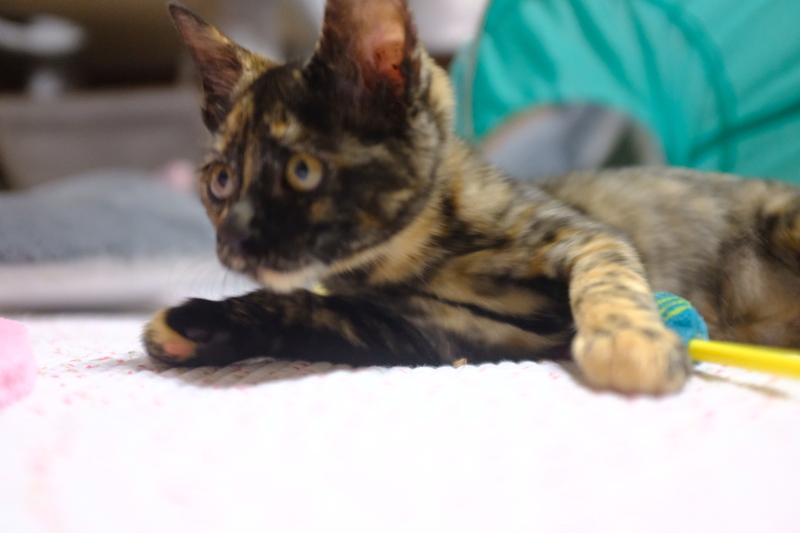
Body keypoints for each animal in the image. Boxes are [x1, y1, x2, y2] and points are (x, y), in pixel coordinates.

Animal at [144, 0, 800, 394]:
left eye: (303, 171)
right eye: (220, 182)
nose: (234, 238)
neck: (405, 260)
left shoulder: (587, 236)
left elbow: (608, 282)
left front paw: (629, 343)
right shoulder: (447, 332)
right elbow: (312, 310)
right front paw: (198, 322)